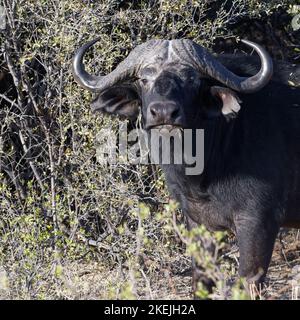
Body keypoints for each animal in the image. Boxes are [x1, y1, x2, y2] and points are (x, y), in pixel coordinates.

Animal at [72, 37, 300, 296]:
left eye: (191, 79)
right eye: (144, 79)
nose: (163, 112)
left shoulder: (258, 222)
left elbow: (247, 280)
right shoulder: (198, 222)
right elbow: (201, 279)